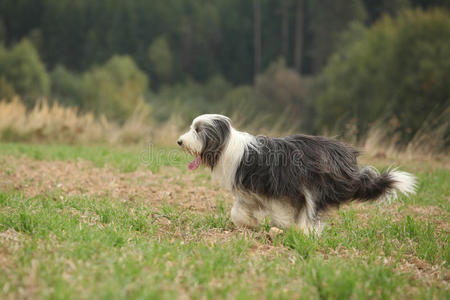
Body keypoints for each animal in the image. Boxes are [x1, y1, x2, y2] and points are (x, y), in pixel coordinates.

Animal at [178, 113, 416, 233]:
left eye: (198, 130)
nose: (180, 141)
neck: (226, 146)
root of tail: (346, 157)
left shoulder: (280, 189)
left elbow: (279, 212)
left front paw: (283, 225)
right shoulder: (249, 193)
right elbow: (237, 211)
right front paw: (250, 224)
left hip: (316, 185)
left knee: (310, 211)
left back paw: (304, 231)